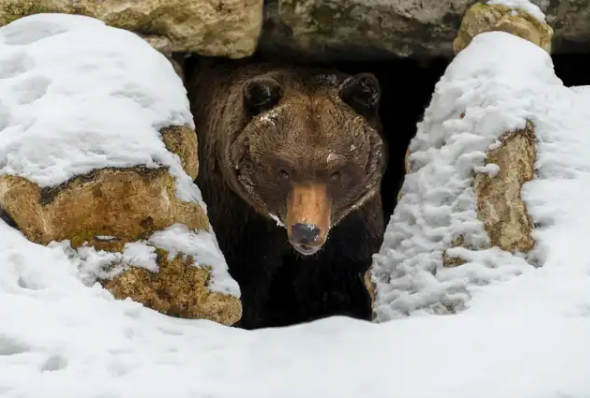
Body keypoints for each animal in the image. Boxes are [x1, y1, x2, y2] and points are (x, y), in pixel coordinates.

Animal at [188, 56, 388, 330]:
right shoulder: (238, 219)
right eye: (283, 170)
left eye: (336, 172)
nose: (307, 231)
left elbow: (337, 286)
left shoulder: (350, 231)